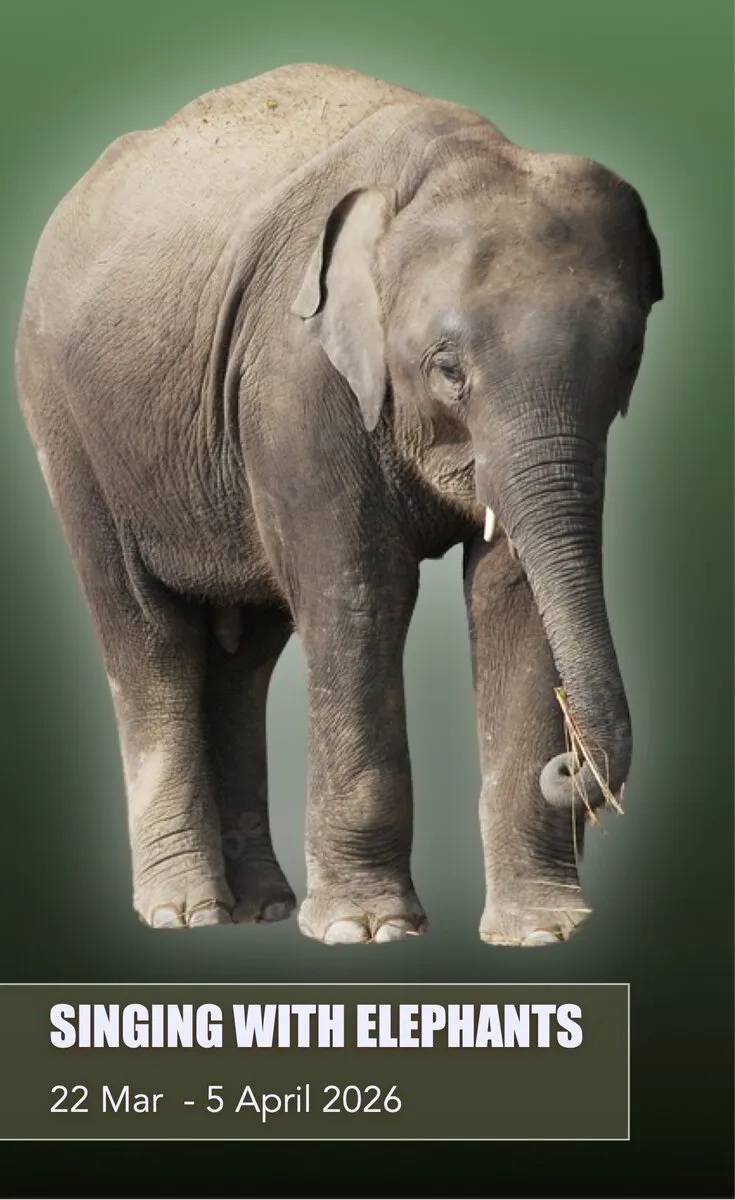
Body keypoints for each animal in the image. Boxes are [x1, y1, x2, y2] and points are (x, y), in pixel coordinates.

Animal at [15, 63, 662, 946]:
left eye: (627, 358)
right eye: (448, 368)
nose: (570, 769)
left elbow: (513, 594)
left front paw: (539, 932)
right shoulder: (296, 373)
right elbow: (357, 594)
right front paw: (366, 930)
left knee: (244, 656)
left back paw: (259, 908)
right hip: (66, 420)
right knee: (146, 635)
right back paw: (185, 912)